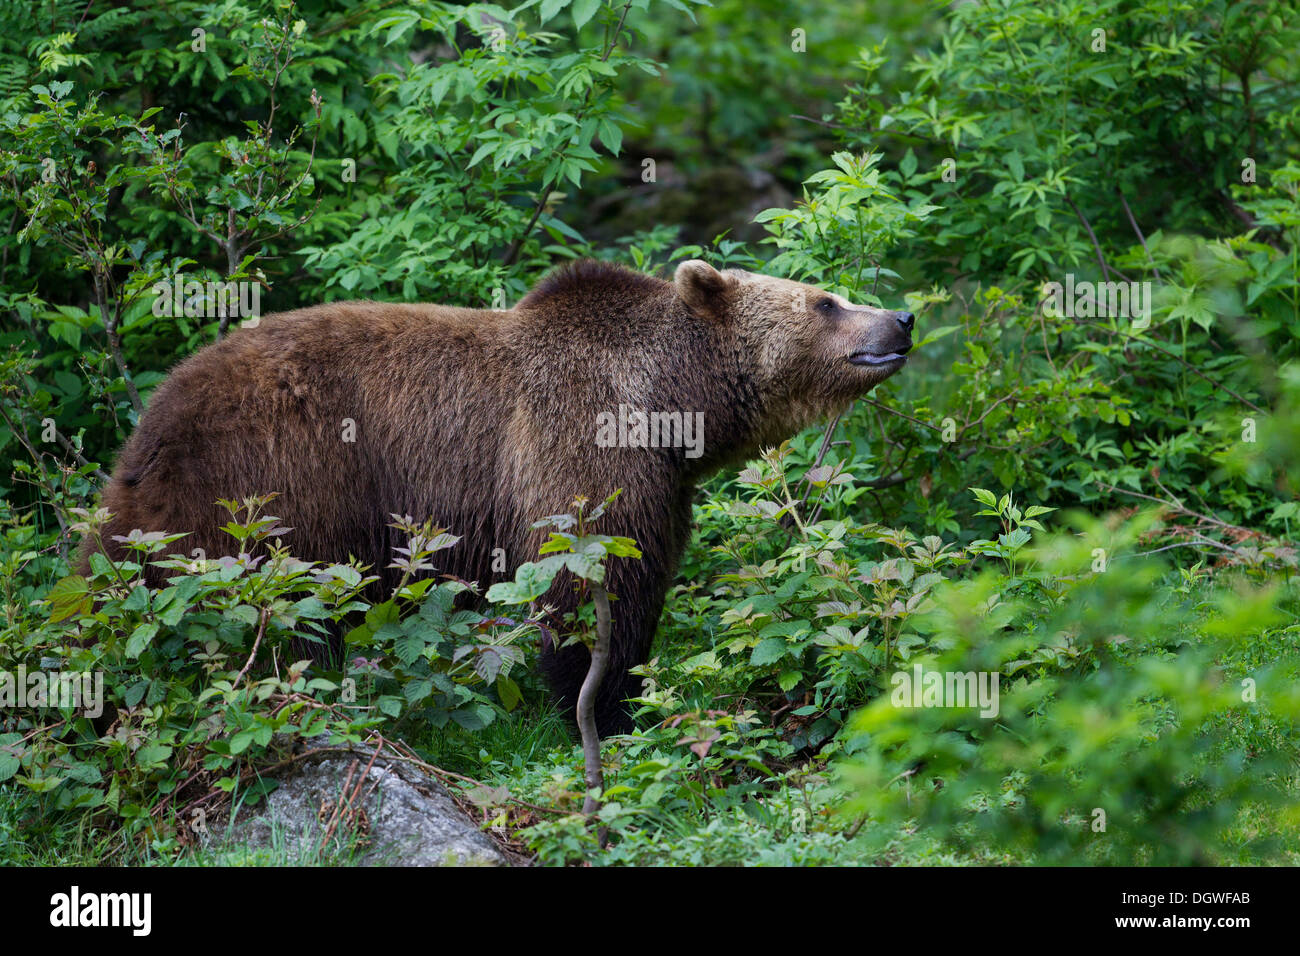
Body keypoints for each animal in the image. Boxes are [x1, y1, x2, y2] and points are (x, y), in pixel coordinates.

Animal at [81, 258, 914, 736]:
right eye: (825, 300)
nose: (902, 316)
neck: (673, 401)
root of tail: (144, 441)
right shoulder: (578, 443)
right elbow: (587, 583)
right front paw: (602, 710)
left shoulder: (662, 485)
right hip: (279, 479)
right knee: (292, 612)